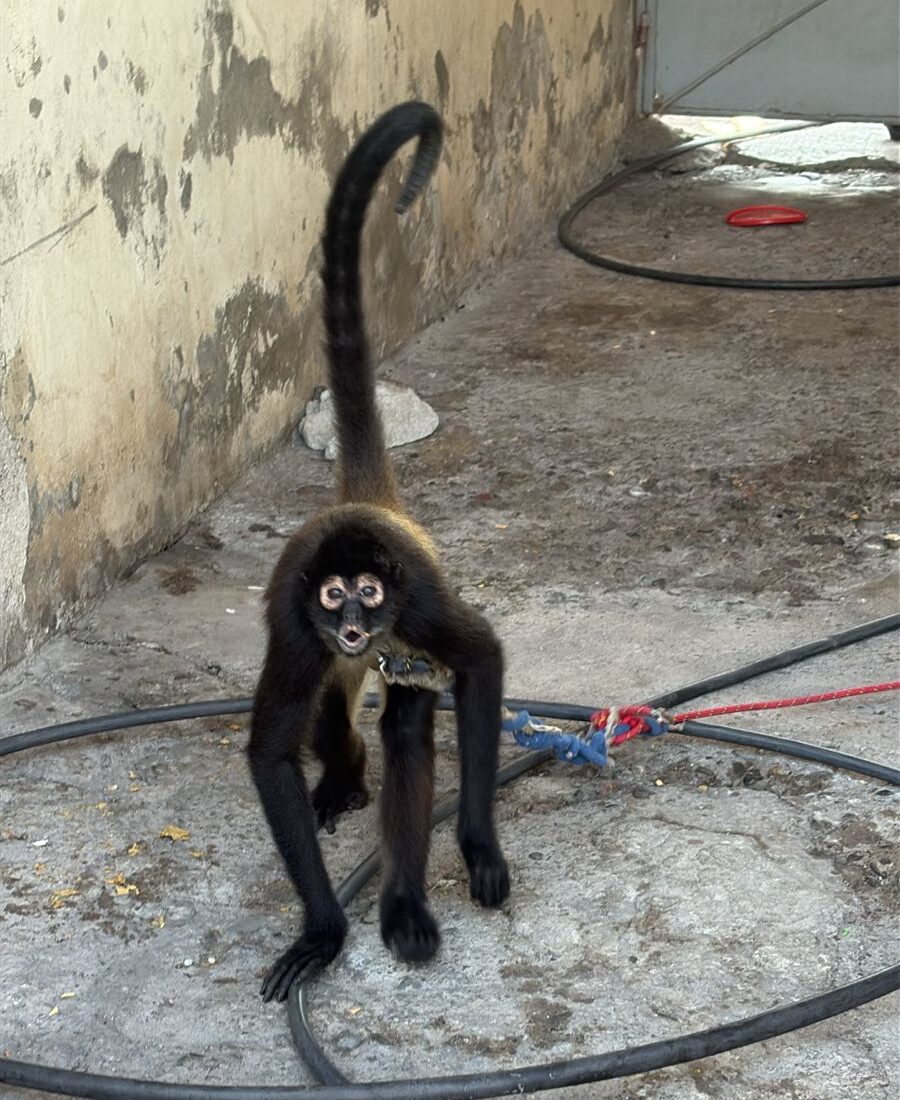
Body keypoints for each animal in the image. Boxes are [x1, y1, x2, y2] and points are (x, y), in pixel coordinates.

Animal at [248, 102, 510, 1004]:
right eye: (334, 594)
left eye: (369, 587)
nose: (358, 619)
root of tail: (364, 505)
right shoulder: (299, 626)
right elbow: (271, 754)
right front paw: (325, 929)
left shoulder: (418, 602)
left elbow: (482, 660)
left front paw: (477, 847)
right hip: (332, 657)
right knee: (333, 711)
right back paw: (347, 770)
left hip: (404, 640)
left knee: (404, 722)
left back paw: (402, 906)